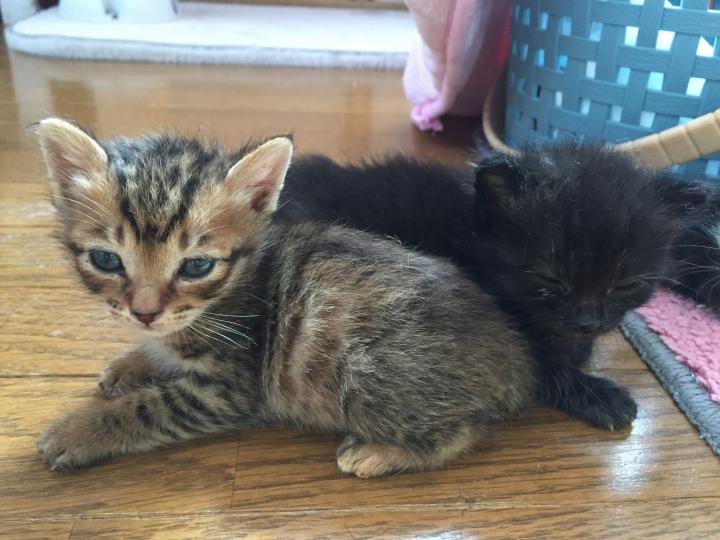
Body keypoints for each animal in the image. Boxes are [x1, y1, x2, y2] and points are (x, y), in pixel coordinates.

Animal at [35, 118, 537, 476]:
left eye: (196, 266)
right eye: (106, 260)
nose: (144, 312)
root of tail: (518, 362)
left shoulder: (229, 389)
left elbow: (148, 408)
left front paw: (77, 432)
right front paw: (130, 362)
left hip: (366, 377)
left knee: (463, 431)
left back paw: (379, 454)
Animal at [278, 144, 712, 430]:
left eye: (624, 284)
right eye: (549, 278)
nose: (587, 320)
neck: (467, 233)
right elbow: (536, 364)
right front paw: (601, 396)